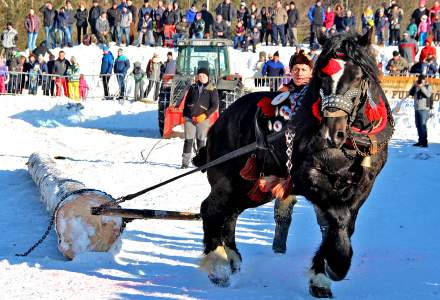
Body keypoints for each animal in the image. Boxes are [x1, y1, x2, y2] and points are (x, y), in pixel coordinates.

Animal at [194, 28, 394, 298]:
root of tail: (219, 120)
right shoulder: (306, 177)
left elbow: (341, 223)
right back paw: (218, 266)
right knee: (211, 209)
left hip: (252, 186)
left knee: (230, 212)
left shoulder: (363, 185)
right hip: (228, 179)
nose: (332, 133)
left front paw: (321, 275)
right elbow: (337, 219)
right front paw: (337, 263)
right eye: (322, 76)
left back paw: (232, 258)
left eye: (358, 76)